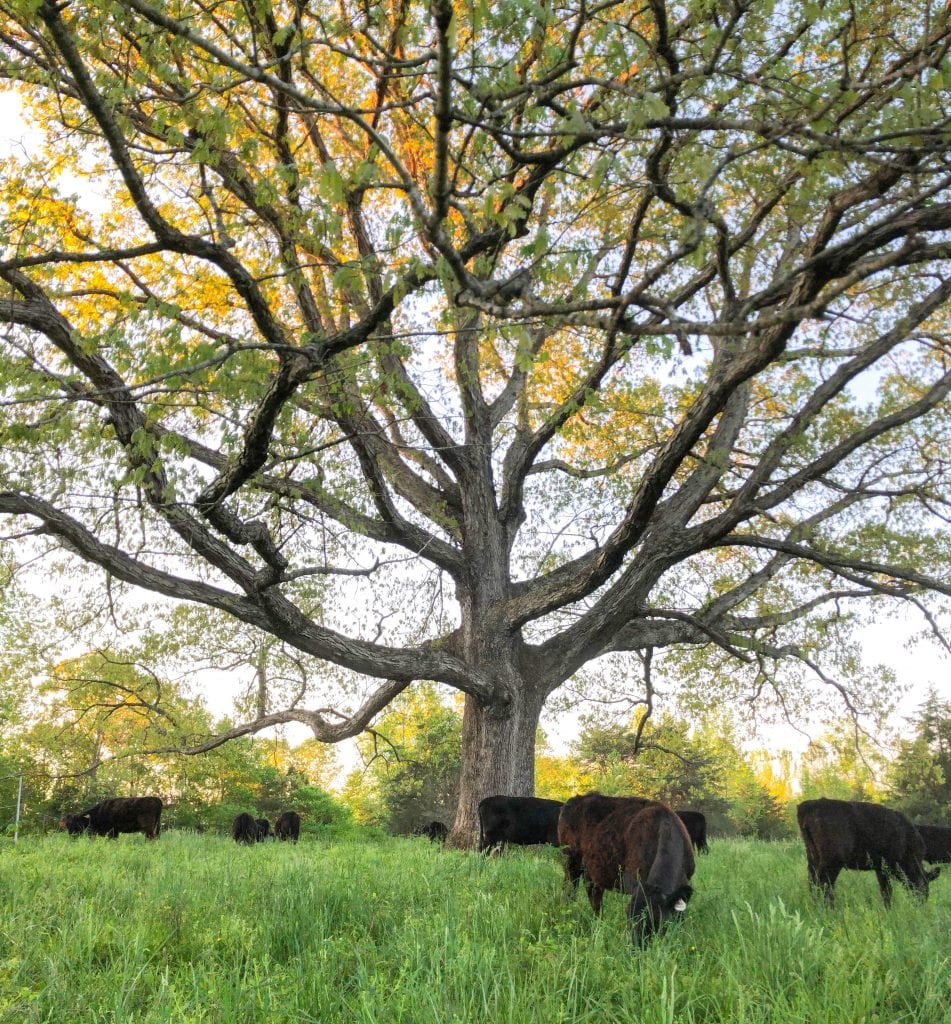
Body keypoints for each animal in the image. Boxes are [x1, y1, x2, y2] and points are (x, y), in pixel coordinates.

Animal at [794, 794, 929, 909]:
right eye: (925, 885)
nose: (922, 904)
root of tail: (811, 805)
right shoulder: (886, 866)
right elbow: (887, 890)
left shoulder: (880, 868)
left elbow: (885, 890)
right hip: (832, 861)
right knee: (824, 883)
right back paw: (829, 909)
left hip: (813, 856)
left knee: (813, 881)